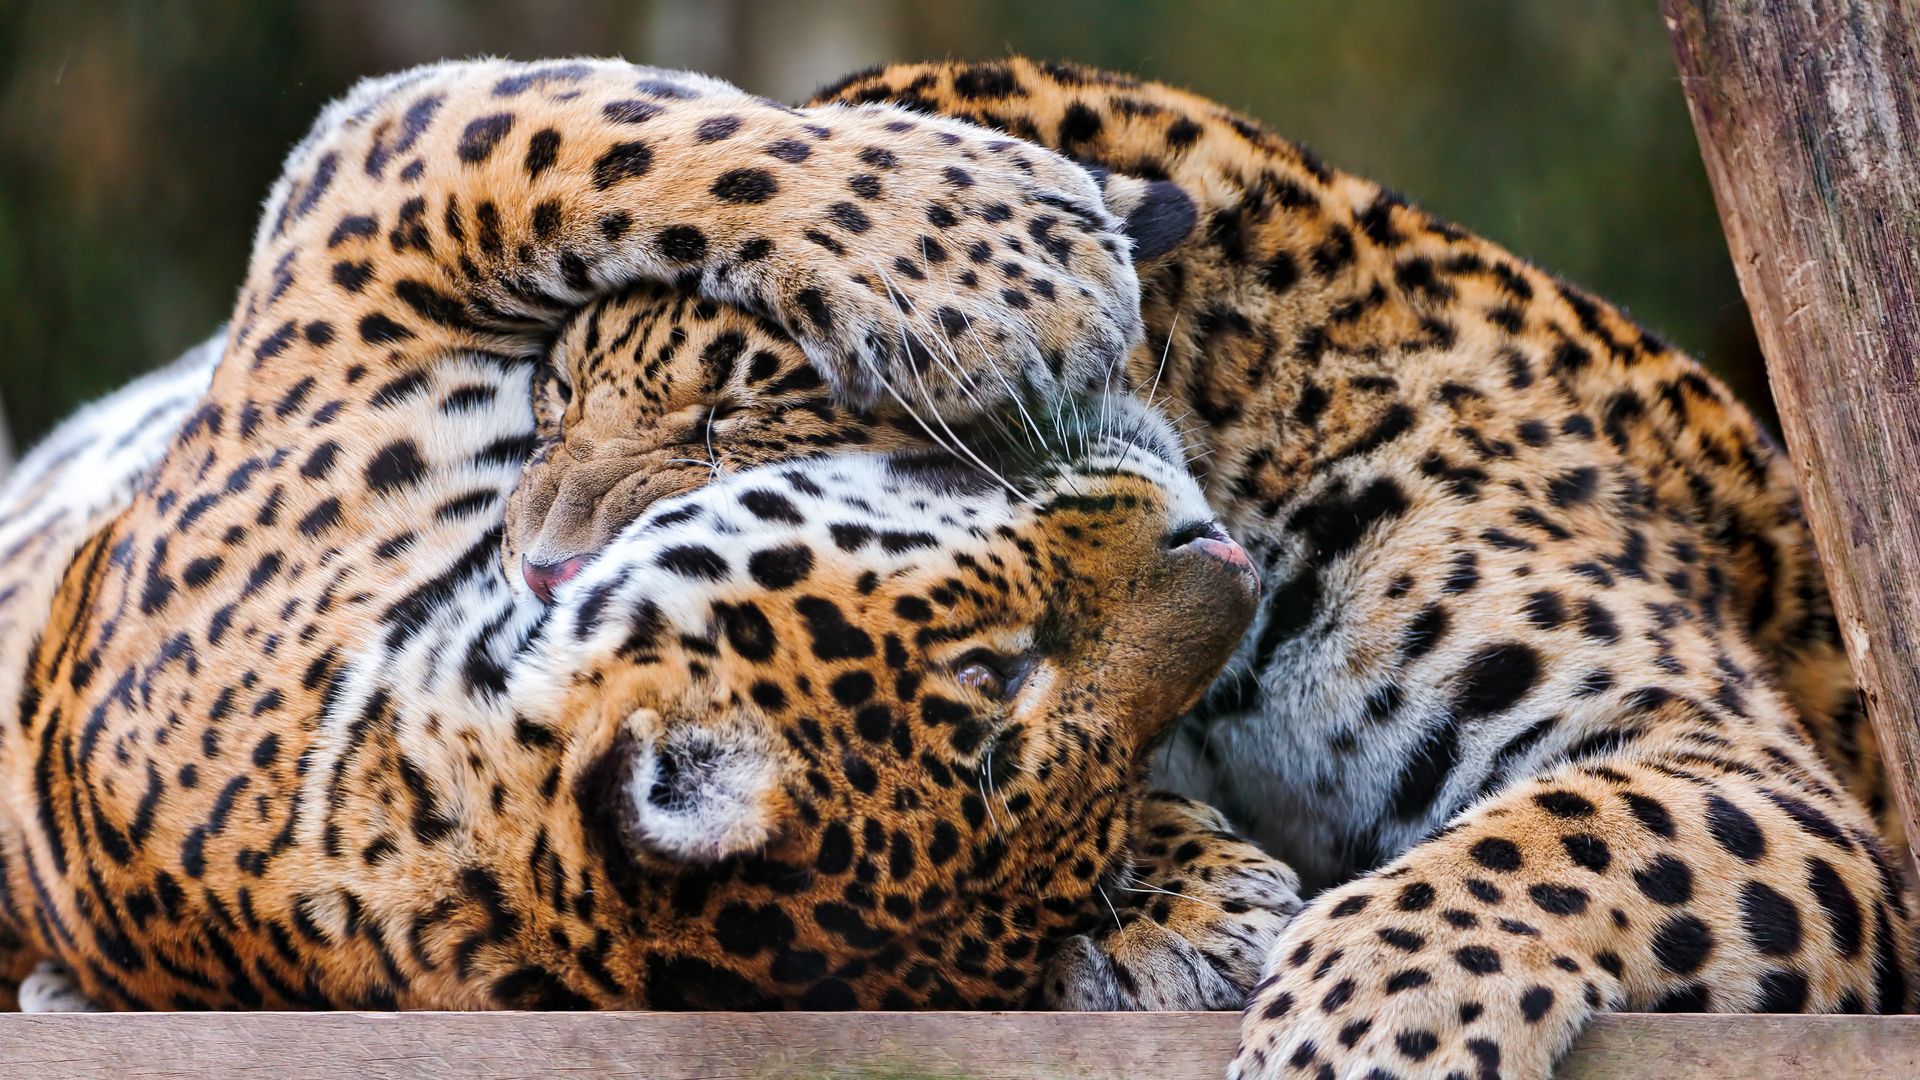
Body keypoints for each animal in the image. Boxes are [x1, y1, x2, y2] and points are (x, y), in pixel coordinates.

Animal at [0, 57, 1303, 1013]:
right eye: (997, 667)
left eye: (1117, 786)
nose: (1226, 565)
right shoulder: (373, 205)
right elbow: (623, 135)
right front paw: (1010, 256)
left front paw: (1196, 904)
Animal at [502, 56, 1914, 1077]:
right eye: (555, 403)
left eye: (739, 409)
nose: (538, 580)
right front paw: (1183, 906)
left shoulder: (1751, 767)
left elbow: (1584, 827)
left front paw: (1366, 1022)